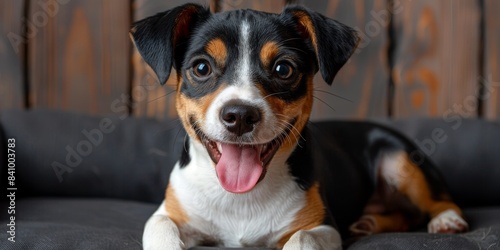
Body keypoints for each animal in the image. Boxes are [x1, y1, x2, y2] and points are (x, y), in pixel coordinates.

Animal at [130, 2, 468, 249]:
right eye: (201, 67)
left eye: (284, 69)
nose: (240, 115)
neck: (241, 196)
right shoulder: (169, 213)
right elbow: (159, 226)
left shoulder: (322, 227)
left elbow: (302, 237)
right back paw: (369, 223)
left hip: (400, 160)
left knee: (438, 201)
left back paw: (446, 221)